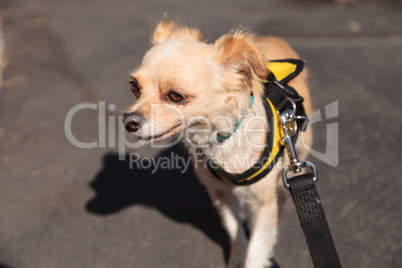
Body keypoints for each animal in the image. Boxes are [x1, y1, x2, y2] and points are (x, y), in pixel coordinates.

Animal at [124, 18, 312, 268]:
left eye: (175, 96)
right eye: (134, 87)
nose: (128, 121)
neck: (222, 139)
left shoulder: (264, 203)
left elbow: (257, 250)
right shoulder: (221, 194)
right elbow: (234, 230)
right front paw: (237, 256)